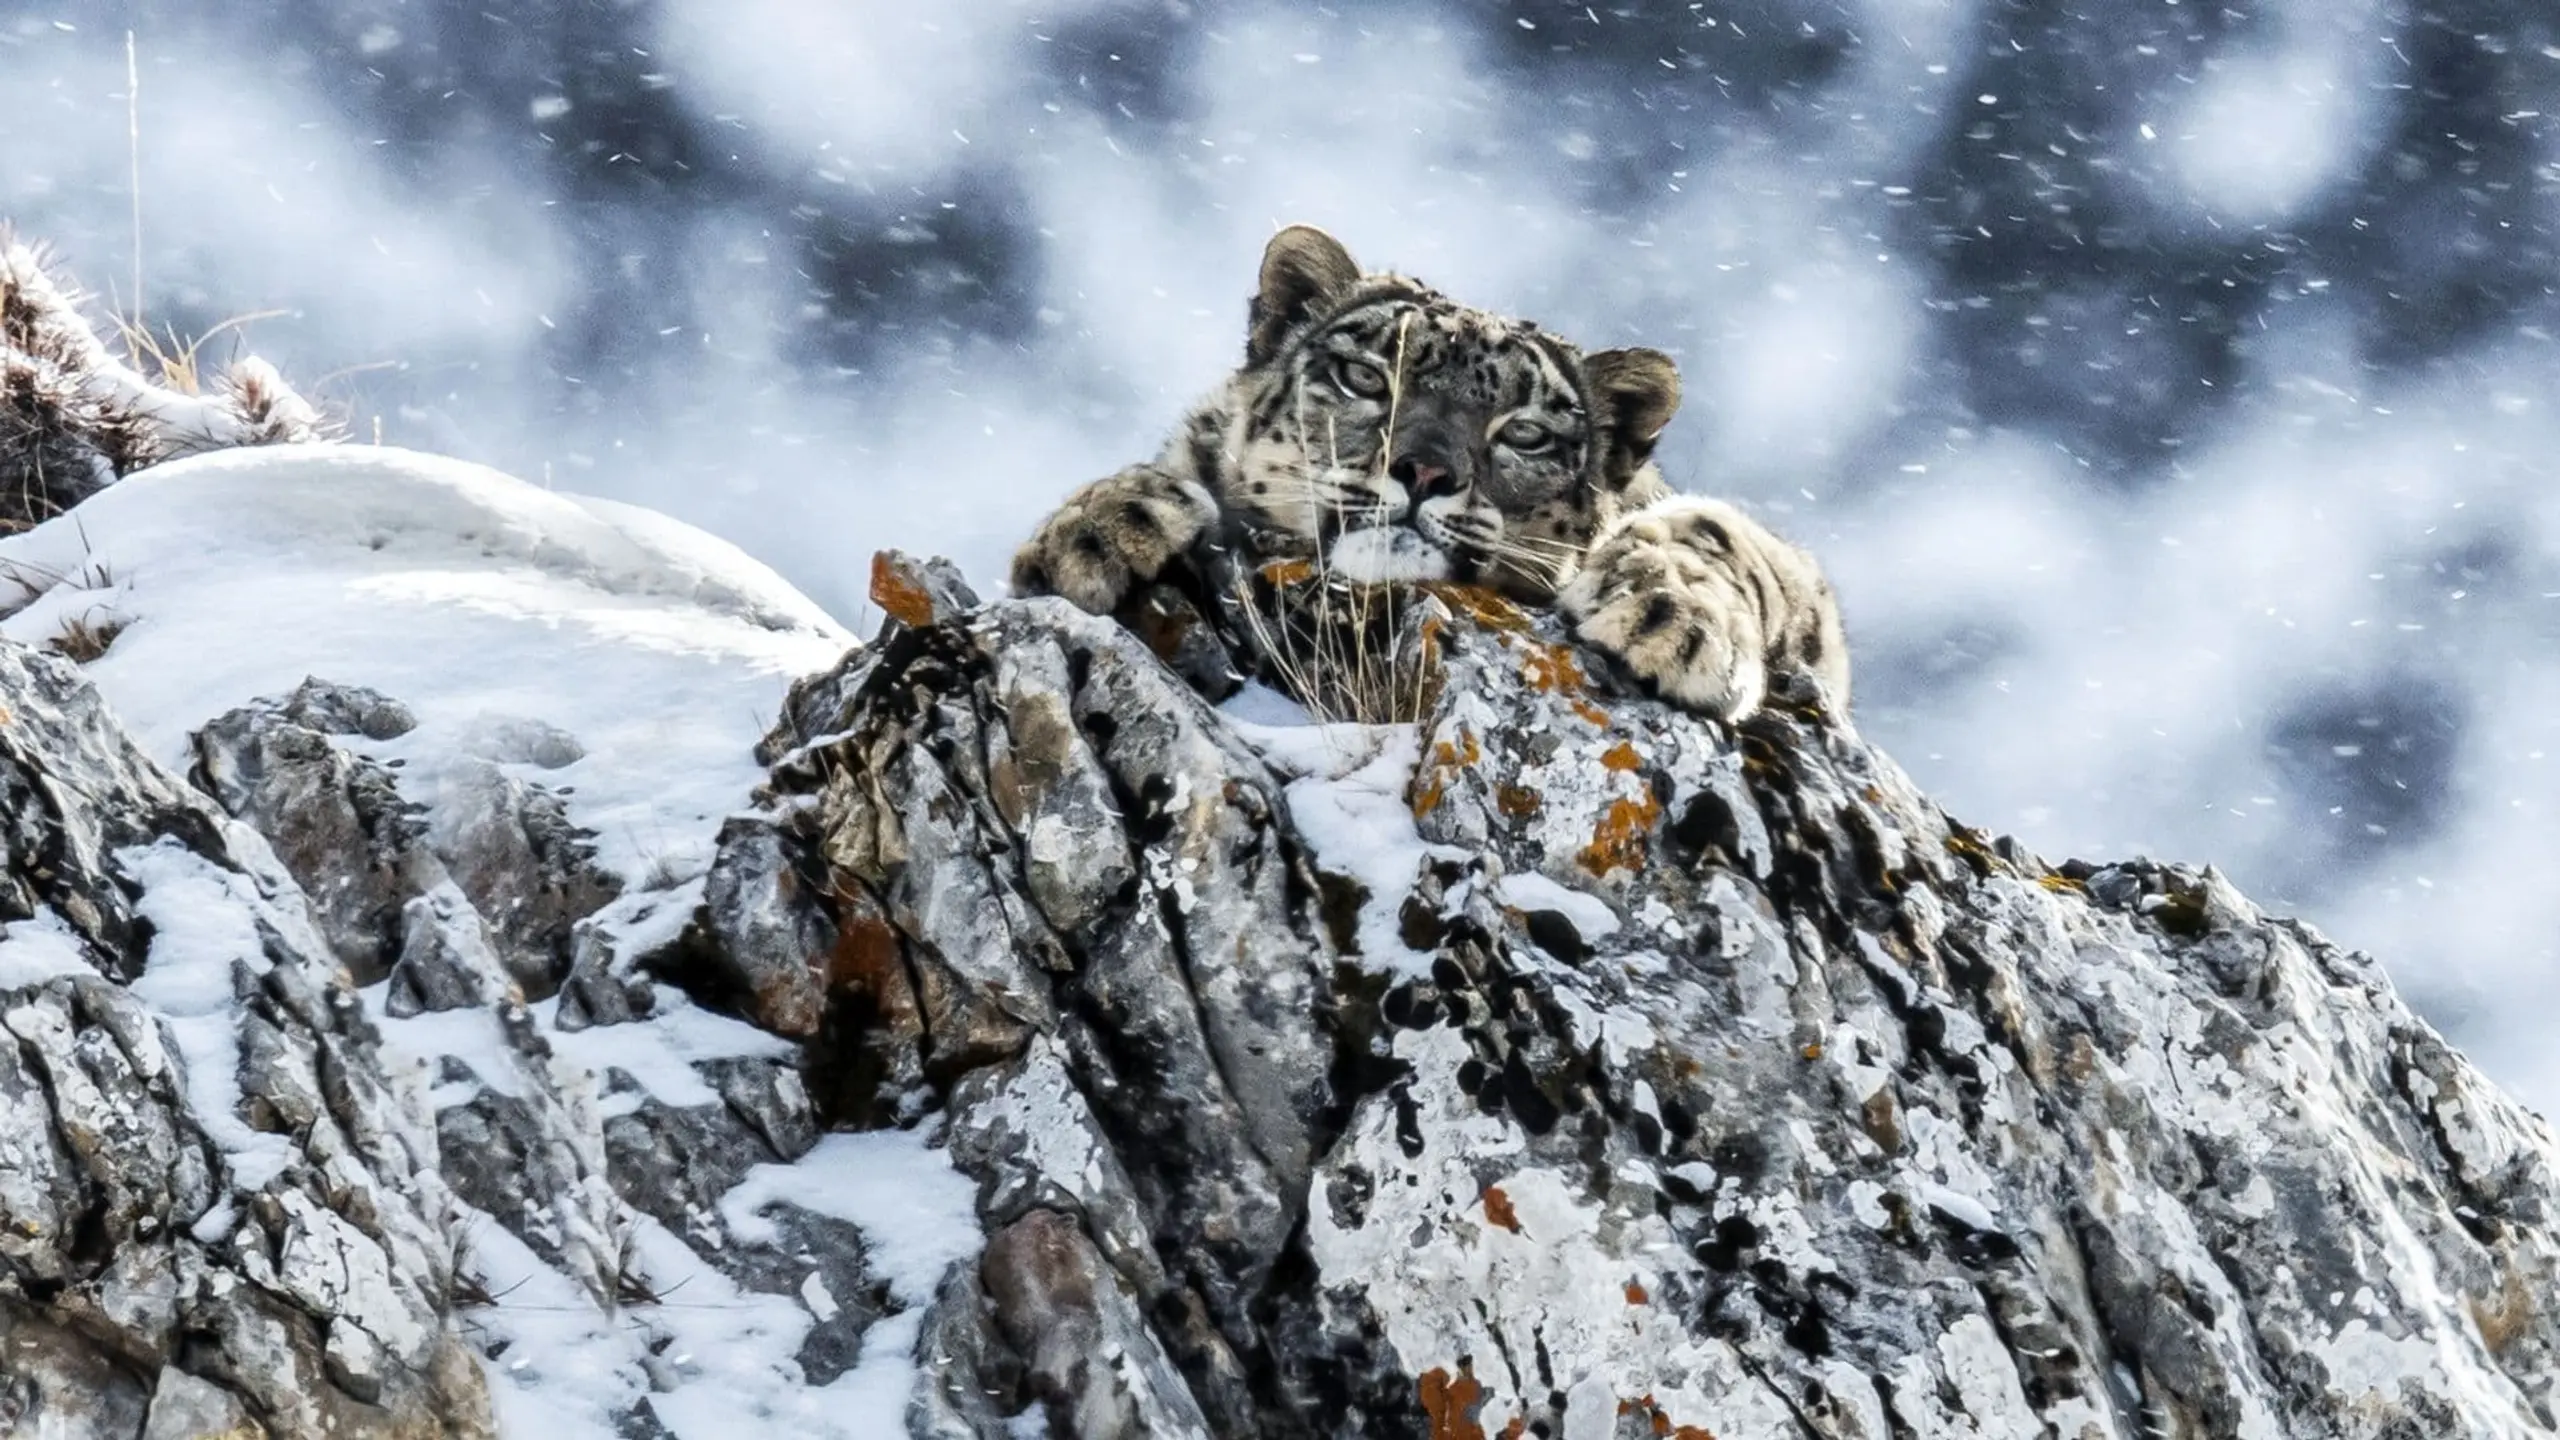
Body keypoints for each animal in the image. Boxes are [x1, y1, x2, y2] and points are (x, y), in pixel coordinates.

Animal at [1008, 224, 1853, 717]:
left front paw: (1672, 620)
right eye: (1364, 376)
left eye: (1526, 433)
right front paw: (1094, 529)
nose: (1421, 471)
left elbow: (1719, 532)